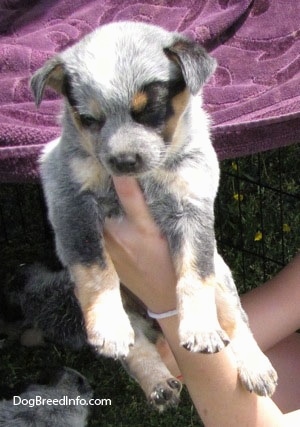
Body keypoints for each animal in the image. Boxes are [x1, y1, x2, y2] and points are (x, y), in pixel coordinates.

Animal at [31, 21, 278, 398]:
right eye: (88, 119)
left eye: (150, 110)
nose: (123, 160)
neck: (144, 179)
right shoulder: (71, 201)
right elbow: (95, 268)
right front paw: (109, 325)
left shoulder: (193, 206)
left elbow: (195, 273)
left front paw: (201, 329)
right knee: (136, 345)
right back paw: (158, 382)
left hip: (222, 274)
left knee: (236, 321)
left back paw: (255, 367)